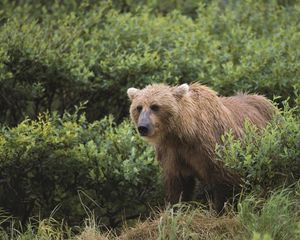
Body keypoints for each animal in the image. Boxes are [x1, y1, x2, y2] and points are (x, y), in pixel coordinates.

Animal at [126, 83, 276, 212]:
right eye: (138, 107)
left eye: (155, 106)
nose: (143, 127)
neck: (184, 134)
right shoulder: (172, 153)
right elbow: (178, 184)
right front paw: (176, 208)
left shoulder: (212, 147)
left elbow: (225, 179)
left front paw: (221, 209)